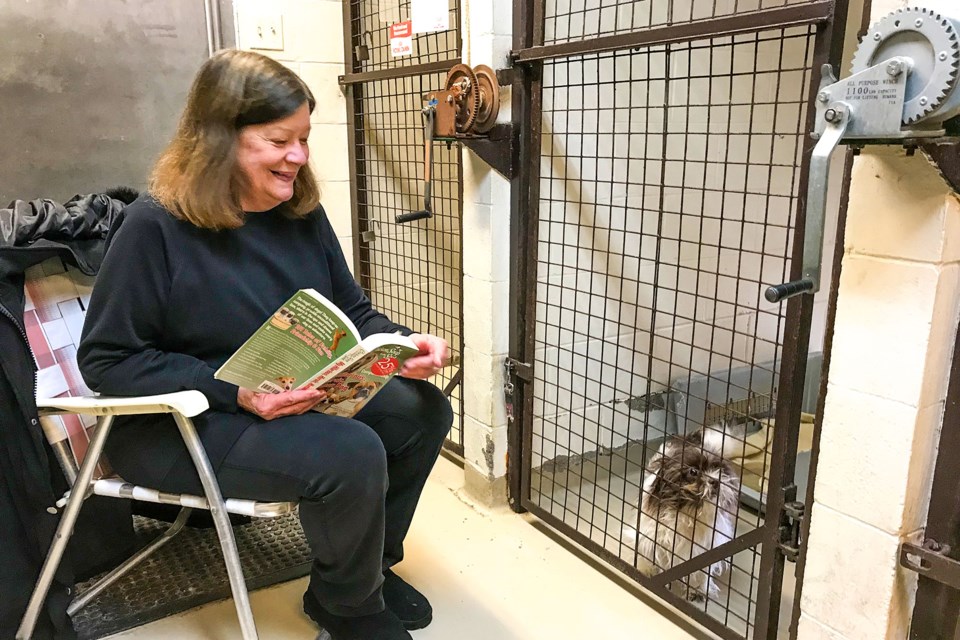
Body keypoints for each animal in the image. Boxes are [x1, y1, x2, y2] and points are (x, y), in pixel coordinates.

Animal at [628, 428, 740, 604]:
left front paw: (697, 590)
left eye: (719, 470)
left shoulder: (707, 546)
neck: (688, 512)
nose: (715, 481)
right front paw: (646, 572)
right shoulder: (650, 532)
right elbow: (647, 553)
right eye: (693, 472)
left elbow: (701, 570)